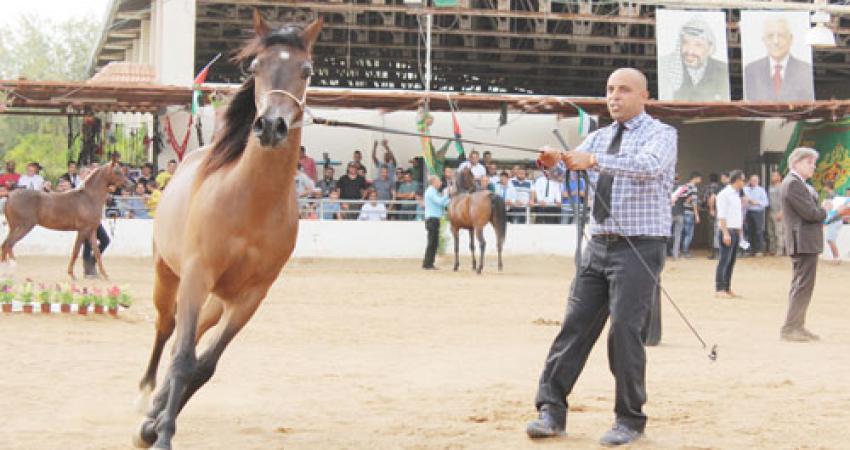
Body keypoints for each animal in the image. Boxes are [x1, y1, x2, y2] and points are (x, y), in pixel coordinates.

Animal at [134, 10, 322, 450]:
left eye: (306, 70)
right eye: (255, 66)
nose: (270, 126)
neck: (251, 202)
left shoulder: (250, 297)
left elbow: (203, 366)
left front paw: (158, 426)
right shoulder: (197, 275)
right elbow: (184, 359)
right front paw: (160, 433)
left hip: (216, 298)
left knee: (189, 339)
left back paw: (155, 409)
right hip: (170, 277)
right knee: (166, 331)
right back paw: (146, 396)